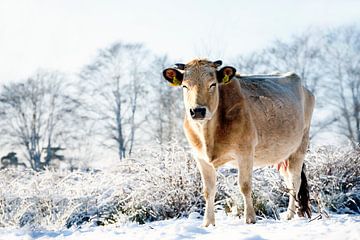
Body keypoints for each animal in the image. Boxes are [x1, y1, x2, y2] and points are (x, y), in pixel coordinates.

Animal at [162, 59, 314, 226]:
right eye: (185, 86)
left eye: (213, 84)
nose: (198, 111)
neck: (209, 136)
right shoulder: (200, 158)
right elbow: (208, 190)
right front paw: (208, 223)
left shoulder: (245, 152)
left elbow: (245, 186)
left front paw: (250, 218)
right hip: (283, 156)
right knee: (288, 181)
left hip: (300, 146)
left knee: (294, 182)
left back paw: (290, 214)